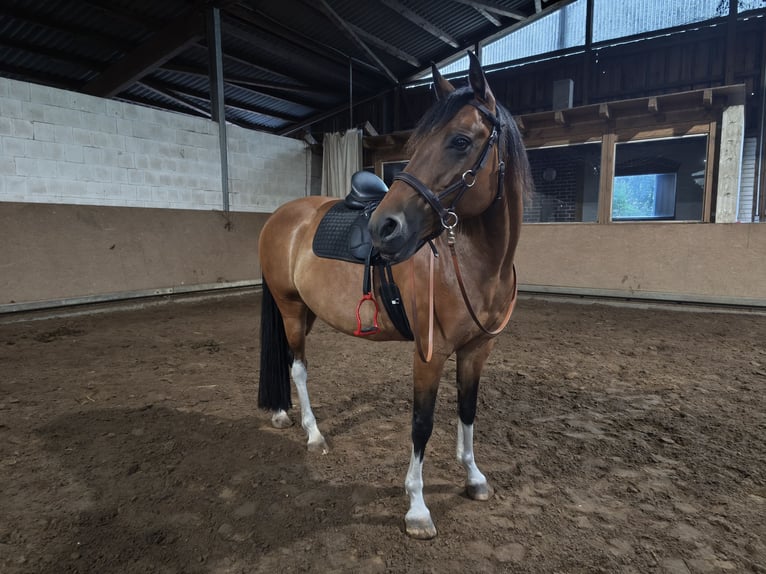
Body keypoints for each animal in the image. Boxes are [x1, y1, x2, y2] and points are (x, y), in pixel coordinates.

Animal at [257, 51, 532, 539]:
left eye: (460, 140)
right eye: (417, 143)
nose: (383, 227)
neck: (472, 264)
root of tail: (280, 216)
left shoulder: (477, 350)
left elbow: (467, 410)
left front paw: (473, 476)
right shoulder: (429, 353)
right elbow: (421, 424)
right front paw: (417, 507)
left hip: (305, 309)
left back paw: (282, 414)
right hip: (289, 309)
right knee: (299, 369)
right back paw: (313, 433)